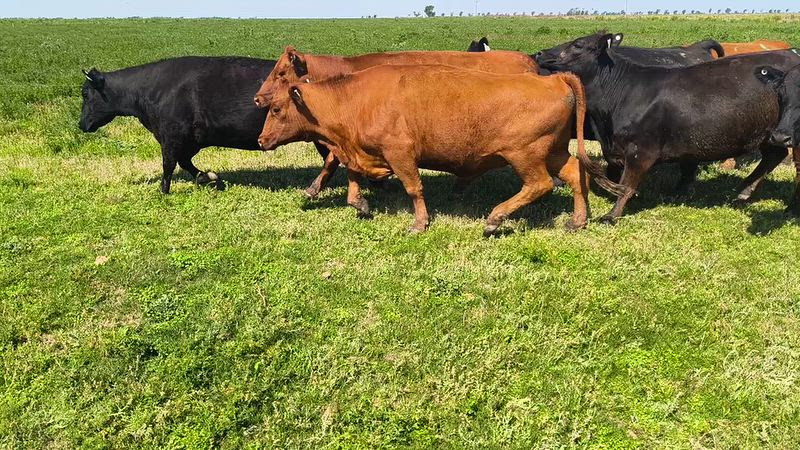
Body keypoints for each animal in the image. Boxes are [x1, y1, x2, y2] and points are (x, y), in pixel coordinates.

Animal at [79, 56, 333, 194]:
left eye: (85, 93)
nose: (81, 124)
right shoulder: (192, 138)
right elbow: (184, 162)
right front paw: (207, 176)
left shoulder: (171, 134)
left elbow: (168, 164)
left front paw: (163, 191)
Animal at [257, 64, 623, 236]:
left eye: (276, 109)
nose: (261, 141)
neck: (355, 99)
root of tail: (553, 78)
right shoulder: (361, 150)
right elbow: (353, 174)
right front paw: (359, 203)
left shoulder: (400, 153)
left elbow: (413, 188)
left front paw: (419, 223)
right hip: (555, 151)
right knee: (576, 175)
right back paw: (577, 220)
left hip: (526, 155)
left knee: (540, 184)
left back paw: (495, 218)